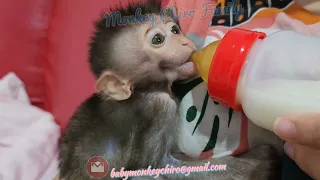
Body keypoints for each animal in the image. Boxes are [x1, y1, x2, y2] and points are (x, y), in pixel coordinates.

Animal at [58, 0, 282, 179]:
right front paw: (259, 163)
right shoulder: (160, 106)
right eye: (158, 39)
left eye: (175, 30)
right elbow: (155, 167)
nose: (184, 41)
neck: (142, 91)